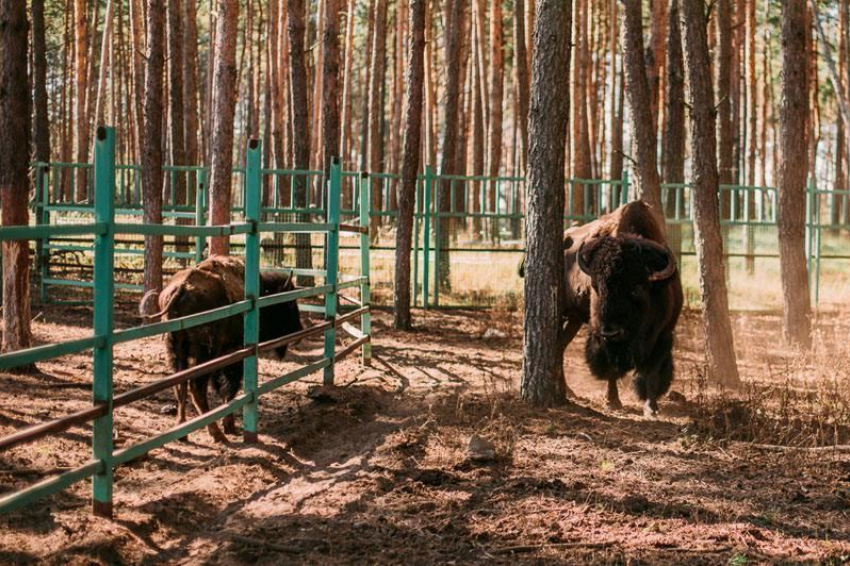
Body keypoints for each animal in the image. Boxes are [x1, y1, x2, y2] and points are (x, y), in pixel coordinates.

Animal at [144, 256, 304, 444]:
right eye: (290, 303)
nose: (299, 332)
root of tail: (181, 288)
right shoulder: (234, 355)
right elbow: (230, 389)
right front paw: (230, 426)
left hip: (176, 353)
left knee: (180, 387)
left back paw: (182, 431)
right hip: (205, 354)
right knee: (197, 389)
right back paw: (217, 434)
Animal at [516, 202, 684, 414]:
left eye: (637, 288)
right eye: (595, 286)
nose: (611, 331)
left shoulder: (664, 333)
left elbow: (651, 371)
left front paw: (651, 407)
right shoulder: (603, 339)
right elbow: (612, 369)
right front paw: (613, 402)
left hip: (574, 320)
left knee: (560, 347)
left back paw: (569, 392)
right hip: (563, 315)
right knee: (557, 348)